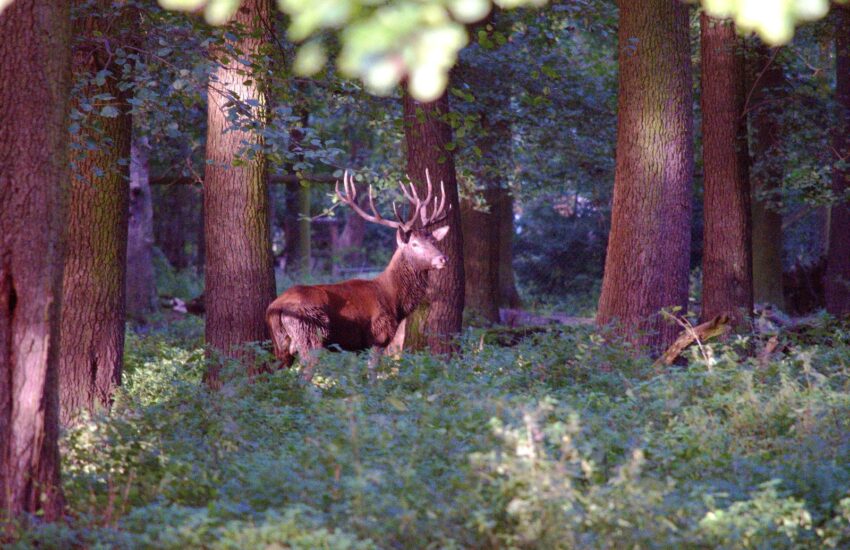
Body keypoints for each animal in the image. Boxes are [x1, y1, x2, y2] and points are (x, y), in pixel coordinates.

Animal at [265, 169, 451, 381]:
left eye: (433, 241)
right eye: (415, 244)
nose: (443, 258)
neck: (395, 302)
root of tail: (276, 307)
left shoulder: (356, 348)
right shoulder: (379, 336)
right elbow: (372, 375)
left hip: (281, 344)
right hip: (310, 336)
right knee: (304, 376)